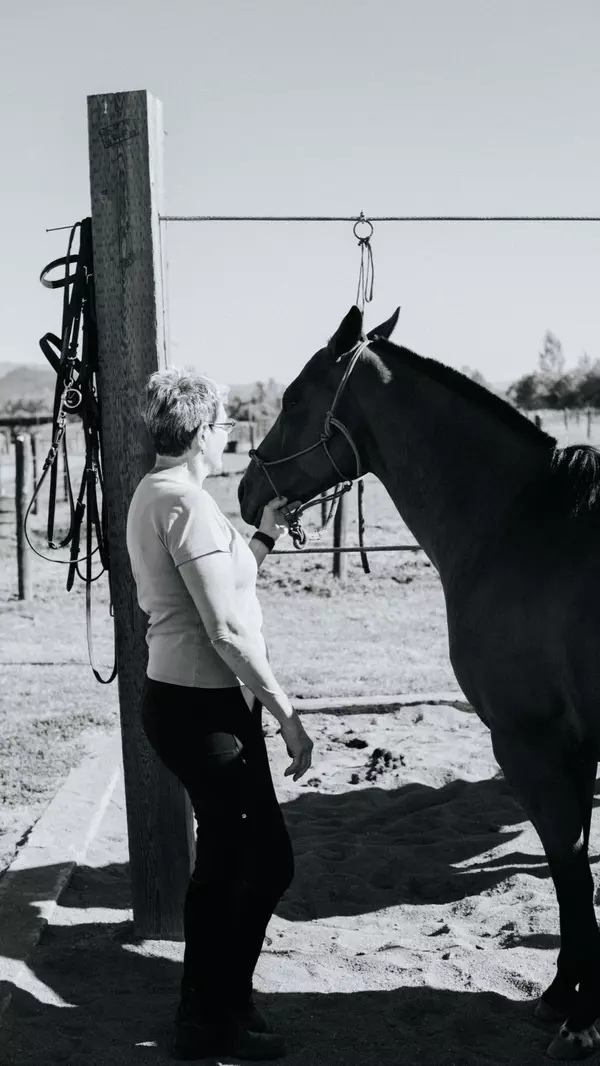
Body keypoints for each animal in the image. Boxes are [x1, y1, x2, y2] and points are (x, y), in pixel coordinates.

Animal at [235, 304, 600, 1061]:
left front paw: (577, 1013)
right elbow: (572, 872)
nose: (246, 491)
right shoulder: (573, 753)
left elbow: (570, 868)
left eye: (292, 399)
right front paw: (565, 996)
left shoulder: (534, 746)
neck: (522, 524)